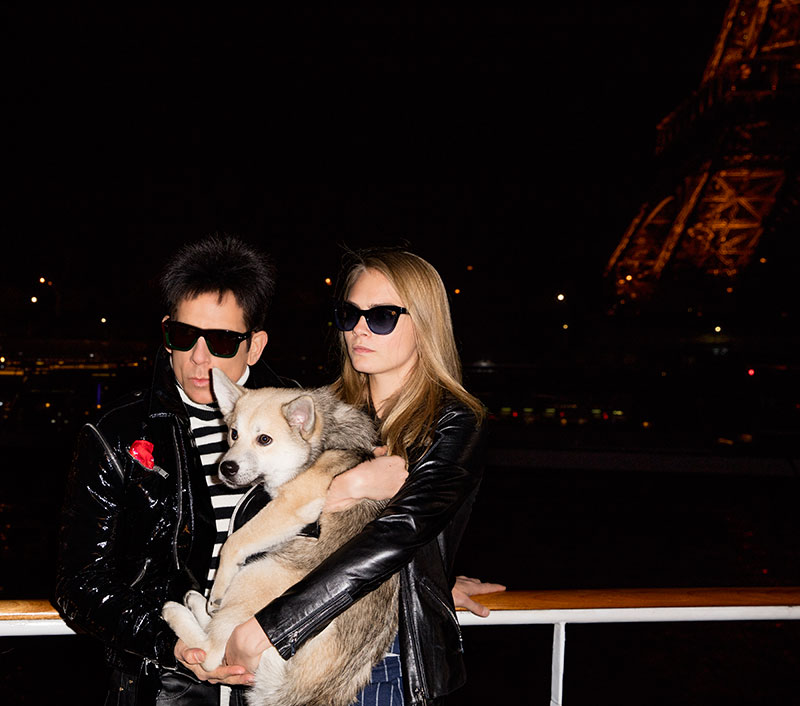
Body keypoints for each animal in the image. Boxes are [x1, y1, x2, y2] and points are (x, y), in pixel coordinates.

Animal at [162, 368, 400, 704]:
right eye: (233, 433)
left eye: (264, 440)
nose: (226, 468)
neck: (323, 441)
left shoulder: (290, 506)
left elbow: (234, 543)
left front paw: (218, 585)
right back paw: (196, 602)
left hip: (257, 574)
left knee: (212, 654)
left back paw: (178, 611)